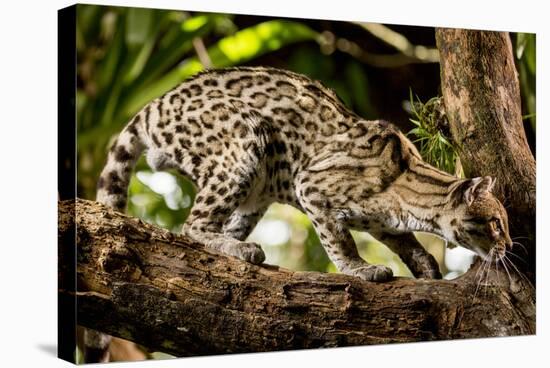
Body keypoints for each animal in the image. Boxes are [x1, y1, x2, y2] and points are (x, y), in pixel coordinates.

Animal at [97, 67, 516, 282]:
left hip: (256, 192)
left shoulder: (384, 220)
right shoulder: (311, 186)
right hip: (245, 143)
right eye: (496, 223)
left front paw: (424, 264)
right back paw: (239, 248)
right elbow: (340, 241)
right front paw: (360, 268)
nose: (510, 246)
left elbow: (402, 238)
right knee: (193, 226)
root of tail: (152, 105)